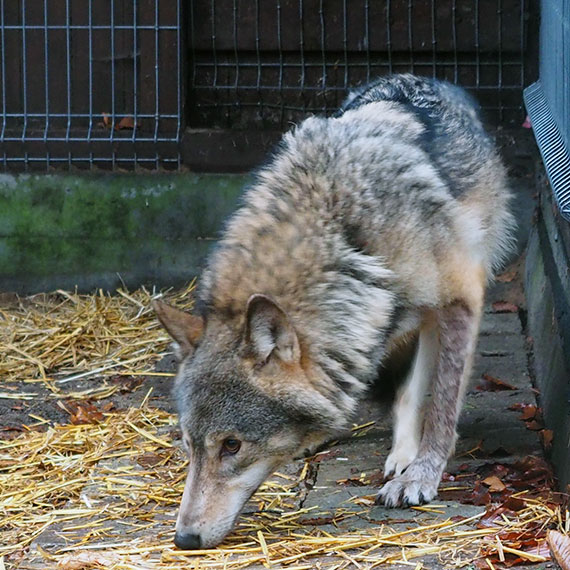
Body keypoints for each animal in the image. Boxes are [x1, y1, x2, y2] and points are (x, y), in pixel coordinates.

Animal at [153, 73, 512, 548]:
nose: (184, 539)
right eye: (188, 444)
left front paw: (422, 475)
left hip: (435, 306)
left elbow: (443, 407)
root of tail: (422, 77)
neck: (343, 231)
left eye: (232, 445)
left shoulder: (462, 296)